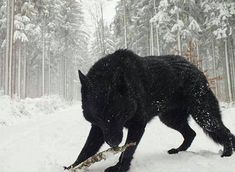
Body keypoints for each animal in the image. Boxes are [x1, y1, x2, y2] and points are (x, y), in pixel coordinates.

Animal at [65, 49, 235, 171]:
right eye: (99, 117)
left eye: (118, 114)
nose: (114, 143)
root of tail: (196, 69)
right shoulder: (99, 129)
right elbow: (86, 149)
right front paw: (73, 166)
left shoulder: (137, 126)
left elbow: (127, 152)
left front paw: (119, 168)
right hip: (170, 119)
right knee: (191, 133)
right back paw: (178, 150)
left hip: (204, 117)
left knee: (225, 132)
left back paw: (227, 153)